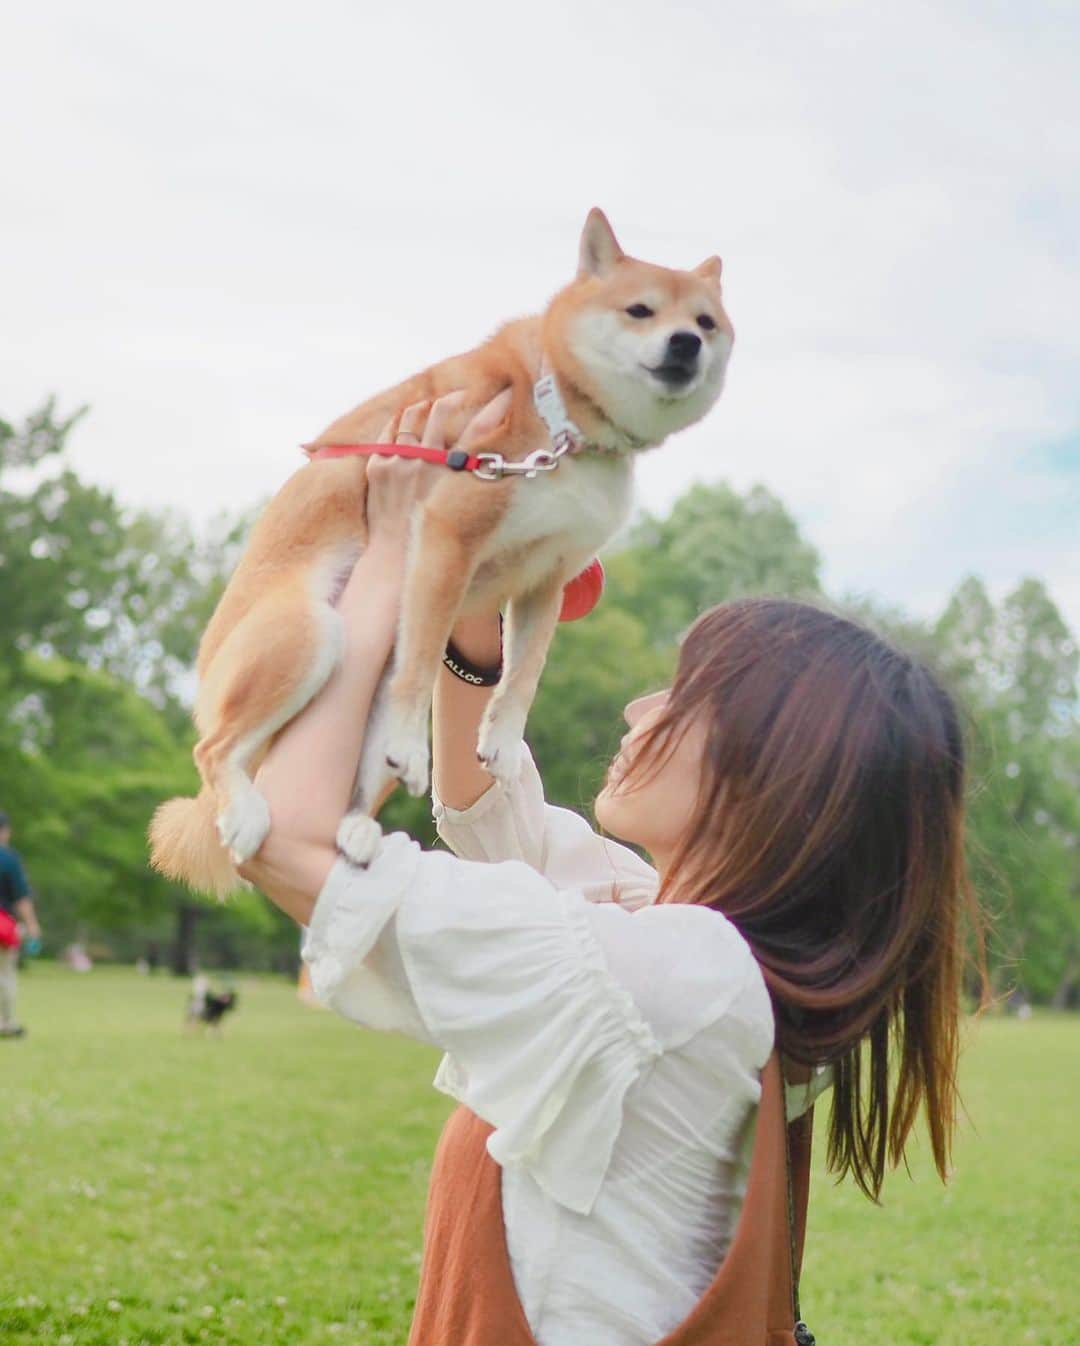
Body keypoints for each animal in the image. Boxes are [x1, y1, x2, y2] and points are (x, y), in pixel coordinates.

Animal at [149, 209, 732, 893]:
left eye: (706, 323)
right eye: (640, 310)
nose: (686, 344)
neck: (562, 416)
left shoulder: (546, 579)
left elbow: (525, 671)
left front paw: (502, 741)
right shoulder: (447, 537)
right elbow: (426, 659)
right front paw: (416, 739)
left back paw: (356, 834)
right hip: (311, 637)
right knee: (213, 750)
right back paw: (244, 813)